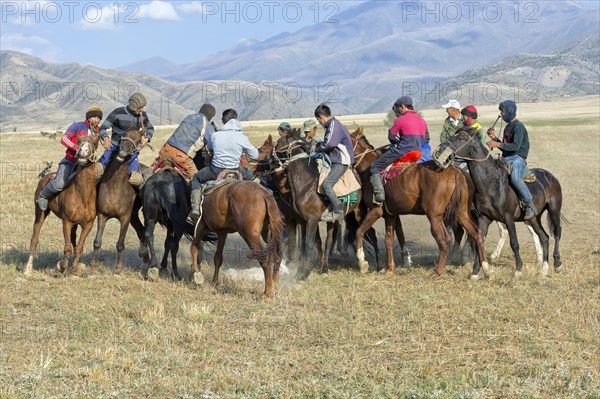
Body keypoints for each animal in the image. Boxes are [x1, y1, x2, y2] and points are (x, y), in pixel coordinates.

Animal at [25, 133, 100, 276]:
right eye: (79, 141)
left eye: (94, 142)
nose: (83, 151)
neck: (82, 194)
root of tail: (45, 177)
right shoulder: (67, 221)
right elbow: (67, 247)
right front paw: (61, 266)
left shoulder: (88, 224)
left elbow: (79, 247)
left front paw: (74, 271)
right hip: (40, 213)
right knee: (34, 239)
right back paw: (27, 269)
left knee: (74, 240)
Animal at [90, 130, 149, 274]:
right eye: (125, 134)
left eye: (139, 140)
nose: (123, 151)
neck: (115, 187)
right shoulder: (102, 215)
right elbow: (97, 241)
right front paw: (93, 266)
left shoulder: (125, 218)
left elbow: (120, 244)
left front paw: (119, 268)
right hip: (134, 216)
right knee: (142, 232)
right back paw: (145, 260)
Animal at [346, 131, 488, 276]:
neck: (368, 168)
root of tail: (456, 173)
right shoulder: (390, 215)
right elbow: (388, 240)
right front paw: (389, 268)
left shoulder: (376, 211)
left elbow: (359, 231)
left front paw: (362, 262)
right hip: (461, 213)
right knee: (477, 234)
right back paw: (486, 268)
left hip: (435, 216)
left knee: (445, 239)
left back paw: (438, 270)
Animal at [436, 128, 564, 278]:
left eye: (461, 137)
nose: (439, 150)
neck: (492, 183)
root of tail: (551, 177)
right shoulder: (483, 218)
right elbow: (479, 240)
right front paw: (476, 272)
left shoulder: (508, 218)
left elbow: (514, 242)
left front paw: (518, 270)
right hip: (533, 218)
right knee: (544, 237)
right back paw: (544, 268)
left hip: (554, 210)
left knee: (557, 232)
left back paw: (557, 263)